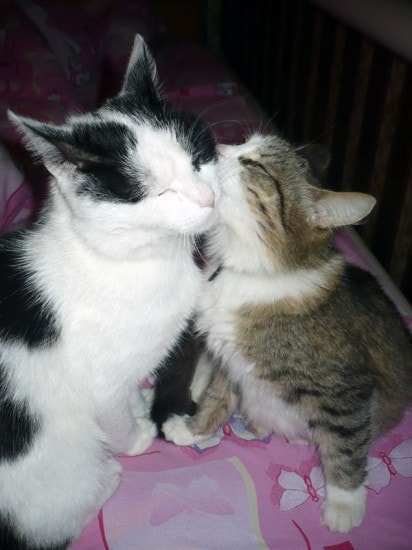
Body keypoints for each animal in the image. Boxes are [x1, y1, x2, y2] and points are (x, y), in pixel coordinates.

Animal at [0, 34, 219, 549]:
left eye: (199, 159)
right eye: (159, 193)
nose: (209, 198)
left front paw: (141, 403)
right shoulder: (101, 381)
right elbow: (114, 413)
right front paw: (136, 437)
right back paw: (108, 479)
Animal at [158, 132, 412, 533]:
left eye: (255, 165)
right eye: (244, 143)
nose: (219, 147)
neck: (245, 271)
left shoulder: (346, 387)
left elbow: (346, 445)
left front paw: (344, 504)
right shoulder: (231, 360)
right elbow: (216, 399)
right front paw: (195, 429)